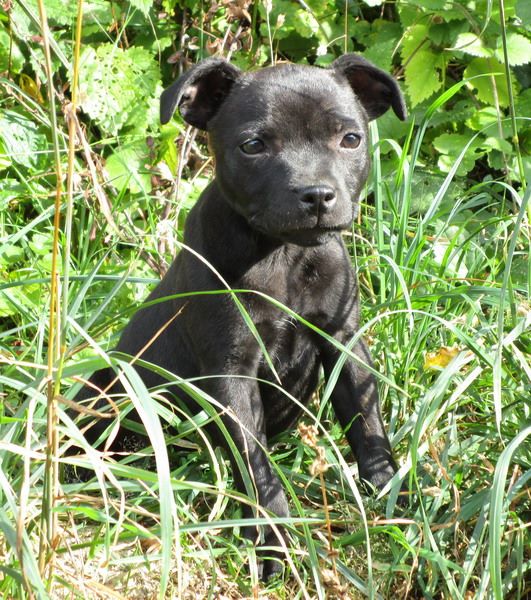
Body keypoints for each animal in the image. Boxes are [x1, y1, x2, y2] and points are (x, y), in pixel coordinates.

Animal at [75, 53, 406, 578]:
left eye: (350, 138)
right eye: (253, 146)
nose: (316, 194)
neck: (283, 255)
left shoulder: (344, 340)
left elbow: (368, 424)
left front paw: (393, 497)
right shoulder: (231, 374)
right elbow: (257, 465)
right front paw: (275, 547)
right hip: (109, 387)